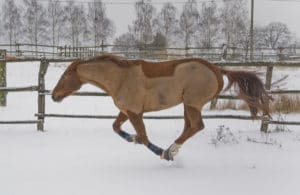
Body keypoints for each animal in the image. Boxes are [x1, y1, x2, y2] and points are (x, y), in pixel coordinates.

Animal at [52, 54, 272, 161]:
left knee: (197, 126)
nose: (54, 96)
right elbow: (116, 127)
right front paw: (133, 139)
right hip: (187, 106)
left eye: (65, 76)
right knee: (189, 127)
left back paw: (169, 151)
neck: (120, 78)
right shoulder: (126, 111)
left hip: (192, 103)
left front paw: (159, 153)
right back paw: (173, 149)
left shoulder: (135, 113)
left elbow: (145, 137)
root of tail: (218, 69)